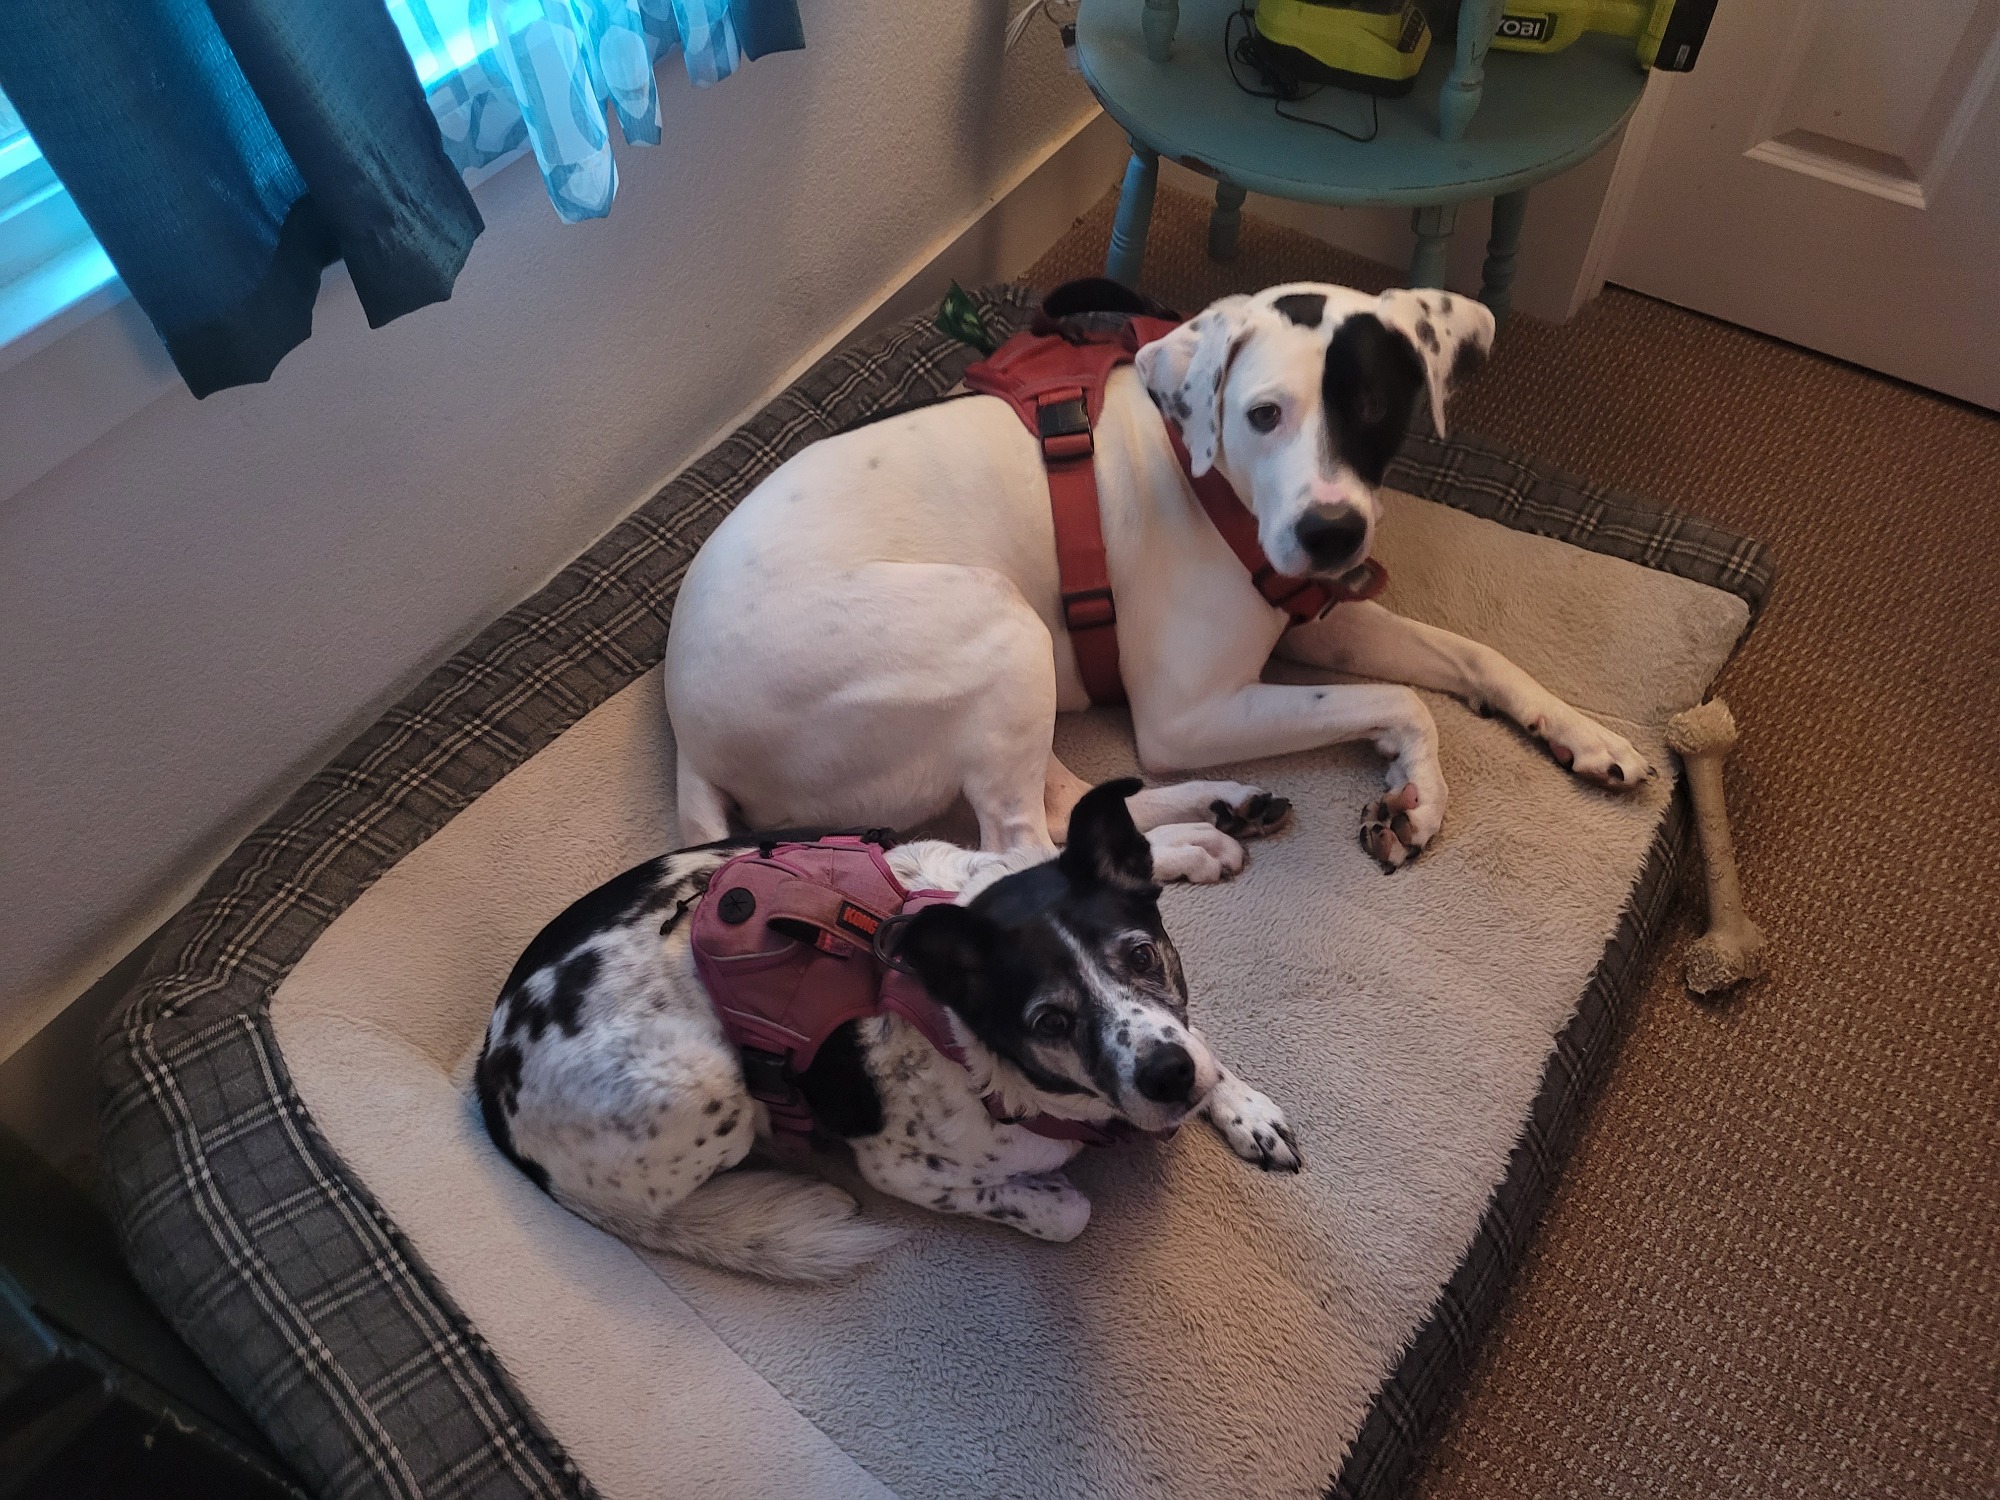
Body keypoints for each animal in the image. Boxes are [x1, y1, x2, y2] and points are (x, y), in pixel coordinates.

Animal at [475, 781, 1300, 1282]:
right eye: (1050, 1020)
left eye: (1140, 954)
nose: (1165, 1078)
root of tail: (488, 1076)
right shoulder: (899, 1169)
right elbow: (1066, 1212)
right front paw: (1048, 1189)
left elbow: (1203, 1045)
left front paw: (1244, 1108)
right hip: (709, 1087)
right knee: (664, 1206)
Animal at [666, 281, 1651, 874]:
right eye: (1263, 415)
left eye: (1373, 408)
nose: (1331, 534)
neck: (1206, 474)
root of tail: (690, 744)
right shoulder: (1188, 714)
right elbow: (1403, 699)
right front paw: (1419, 784)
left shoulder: (1320, 616)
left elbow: (1473, 658)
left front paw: (1569, 737)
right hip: (992, 621)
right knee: (1021, 852)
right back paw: (1185, 846)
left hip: (1009, 673)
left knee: (1064, 805)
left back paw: (1218, 809)